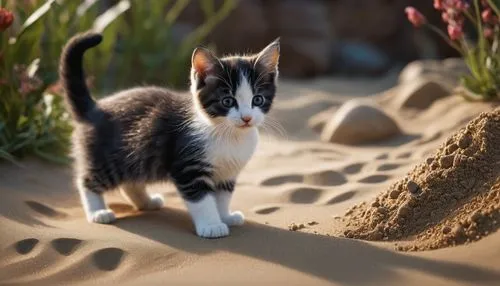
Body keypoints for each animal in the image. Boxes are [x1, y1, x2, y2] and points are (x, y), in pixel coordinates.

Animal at [60, 31, 280, 239]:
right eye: (227, 101)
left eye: (258, 99)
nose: (247, 118)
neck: (228, 134)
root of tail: (94, 108)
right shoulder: (188, 167)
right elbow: (202, 200)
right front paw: (211, 225)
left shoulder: (227, 173)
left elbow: (222, 197)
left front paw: (225, 216)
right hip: (107, 159)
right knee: (87, 181)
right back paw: (98, 212)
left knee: (130, 181)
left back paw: (147, 202)